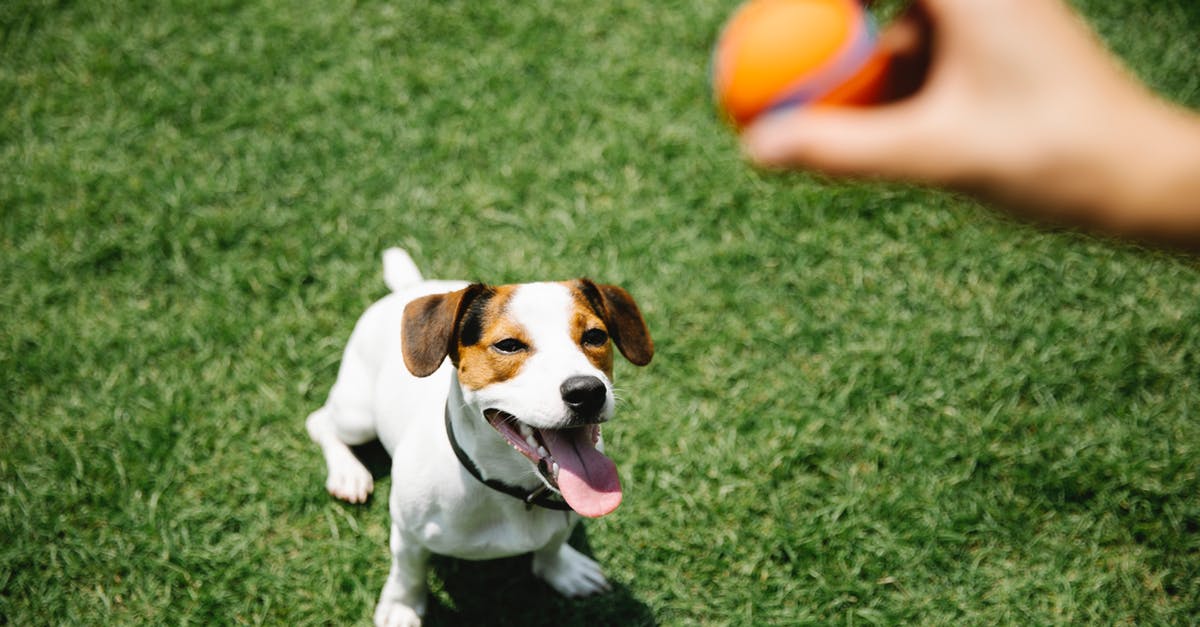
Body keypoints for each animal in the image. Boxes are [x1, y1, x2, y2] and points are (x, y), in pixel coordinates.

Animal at [304, 246, 652, 619]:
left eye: (595, 336)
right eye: (509, 345)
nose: (587, 392)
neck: (507, 489)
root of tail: (411, 286)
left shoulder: (564, 520)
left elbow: (552, 546)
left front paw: (563, 570)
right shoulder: (407, 533)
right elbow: (407, 572)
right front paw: (401, 606)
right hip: (357, 417)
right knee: (320, 422)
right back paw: (348, 474)